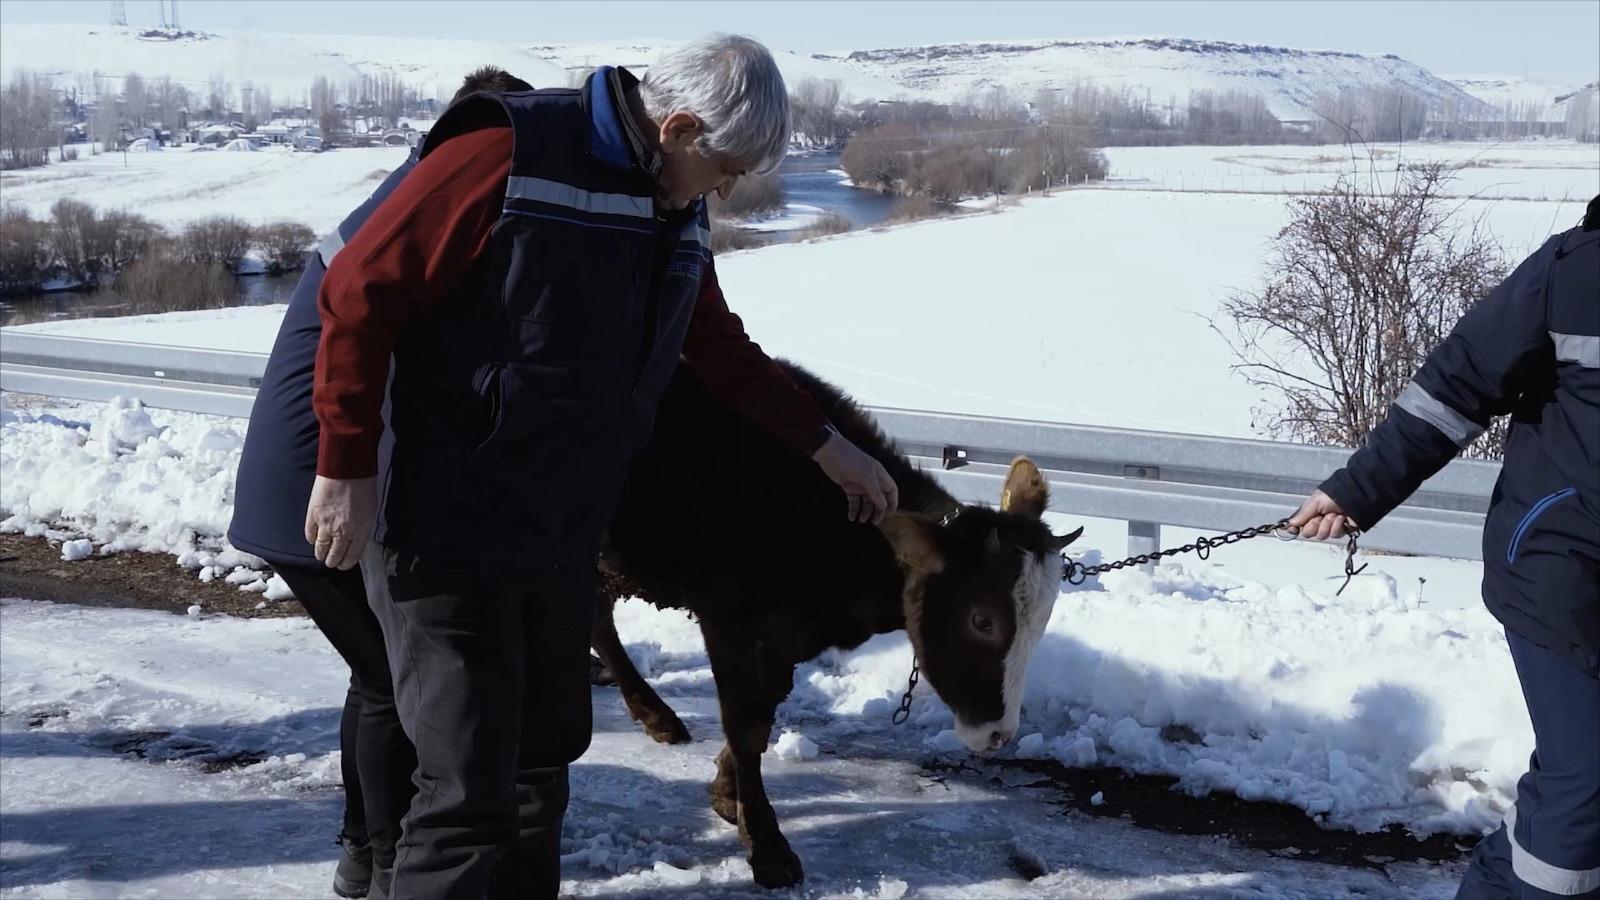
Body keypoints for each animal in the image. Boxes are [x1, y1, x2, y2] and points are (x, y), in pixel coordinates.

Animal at [595, 360, 1081, 883]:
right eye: (982, 620)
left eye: (1043, 620)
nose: (999, 735)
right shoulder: (727, 615)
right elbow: (746, 723)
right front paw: (768, 847)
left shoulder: (786, 635)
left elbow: (766, 709)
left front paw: (727, 792)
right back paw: (655, 713)